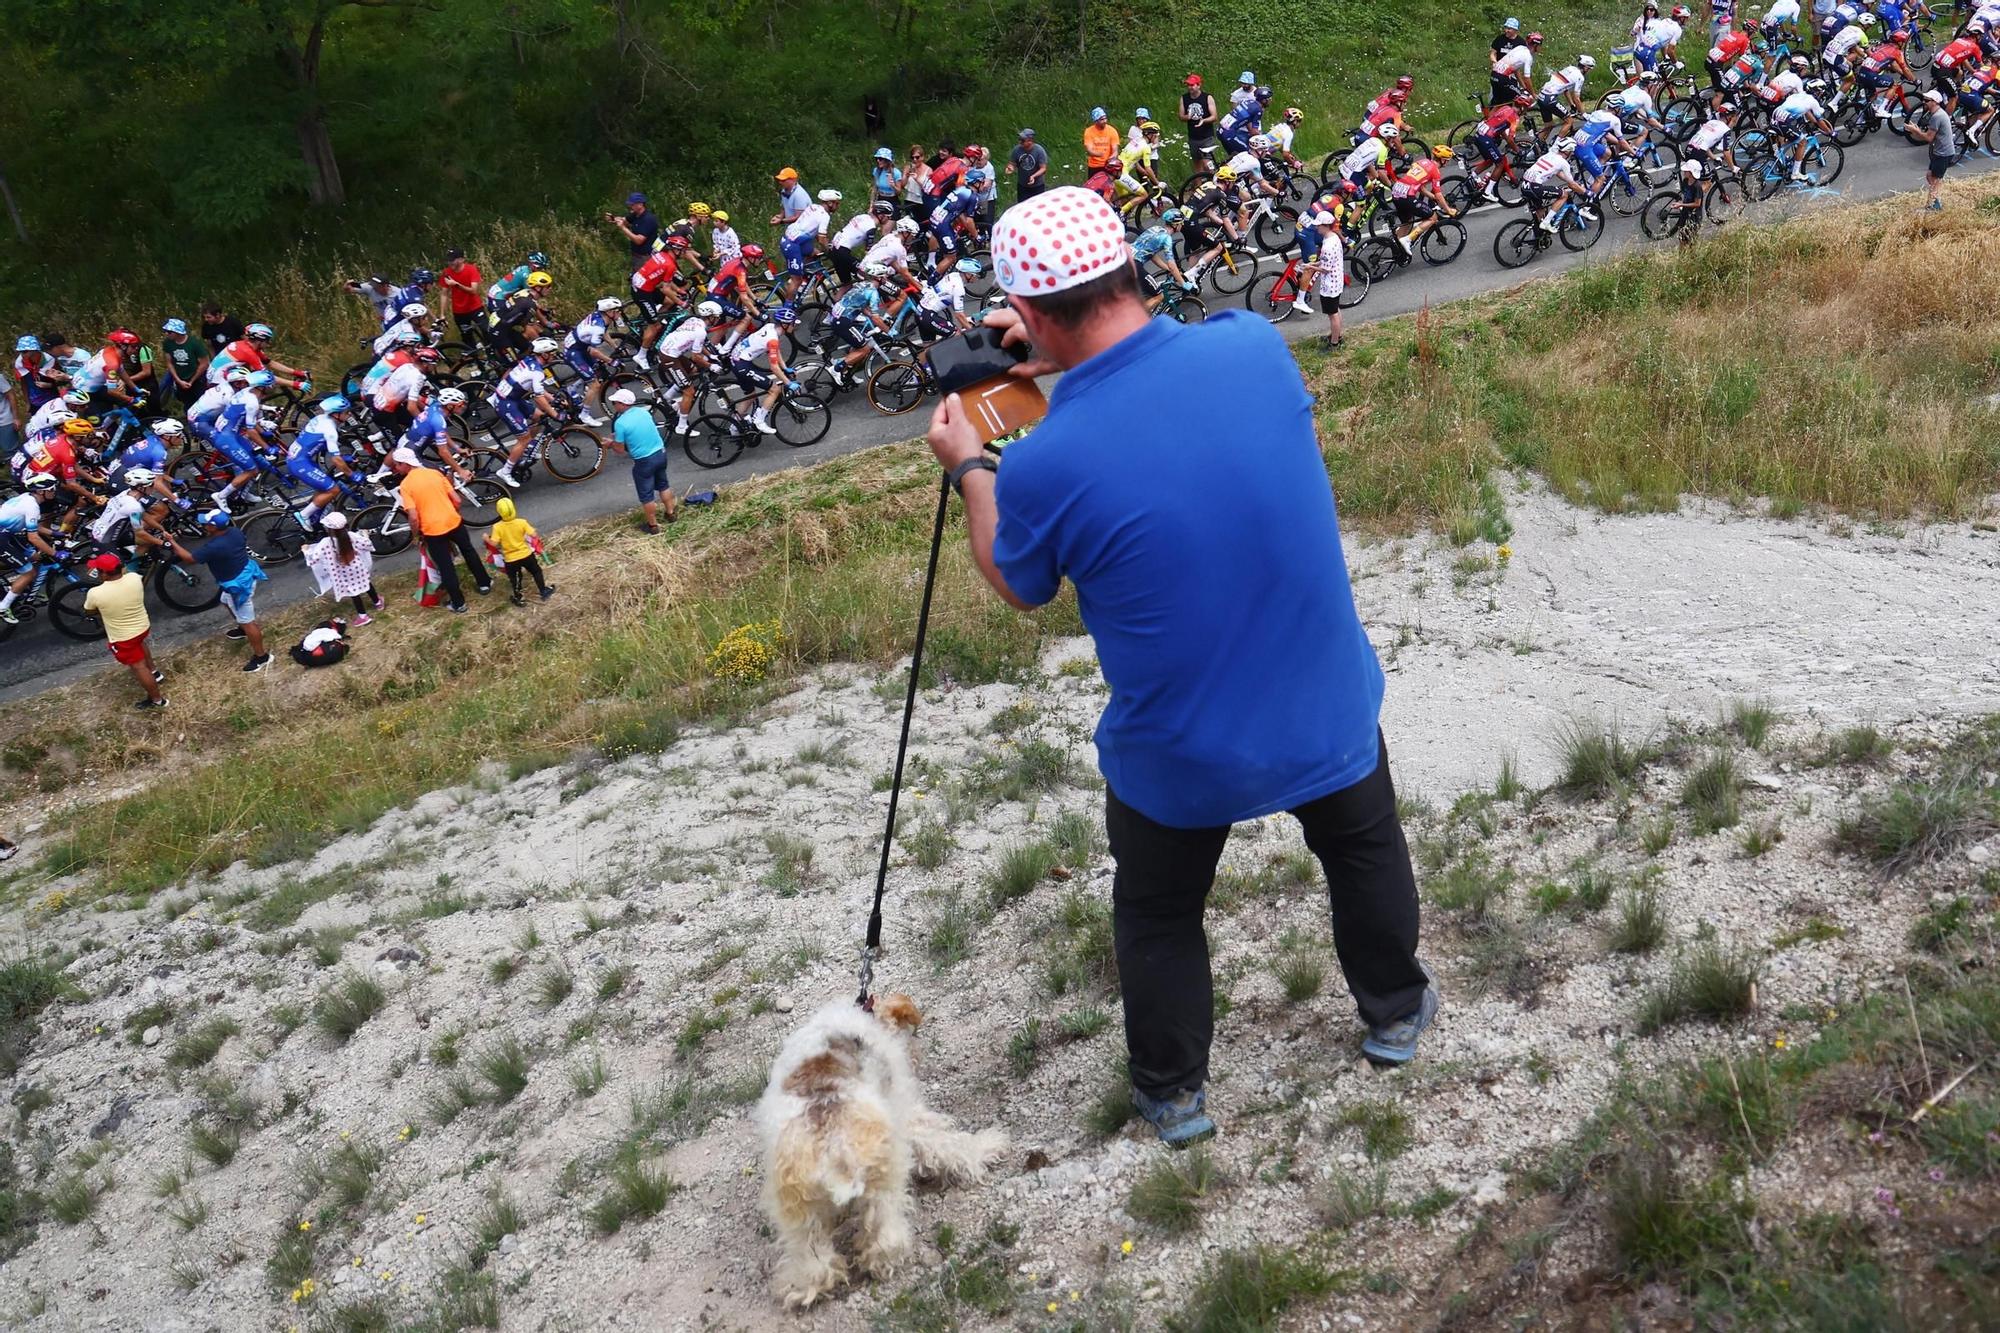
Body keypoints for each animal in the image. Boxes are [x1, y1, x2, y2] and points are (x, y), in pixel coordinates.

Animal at [752, 992, 1008, 1304]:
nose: (917, 1053)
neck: (868, 1013)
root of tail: (831, 1147)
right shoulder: (907, 1113)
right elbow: (947, 1143)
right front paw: (987, 1146)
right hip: (883, 1179)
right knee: (884, 1235)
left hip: (799, 1211)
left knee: (815, 1262)